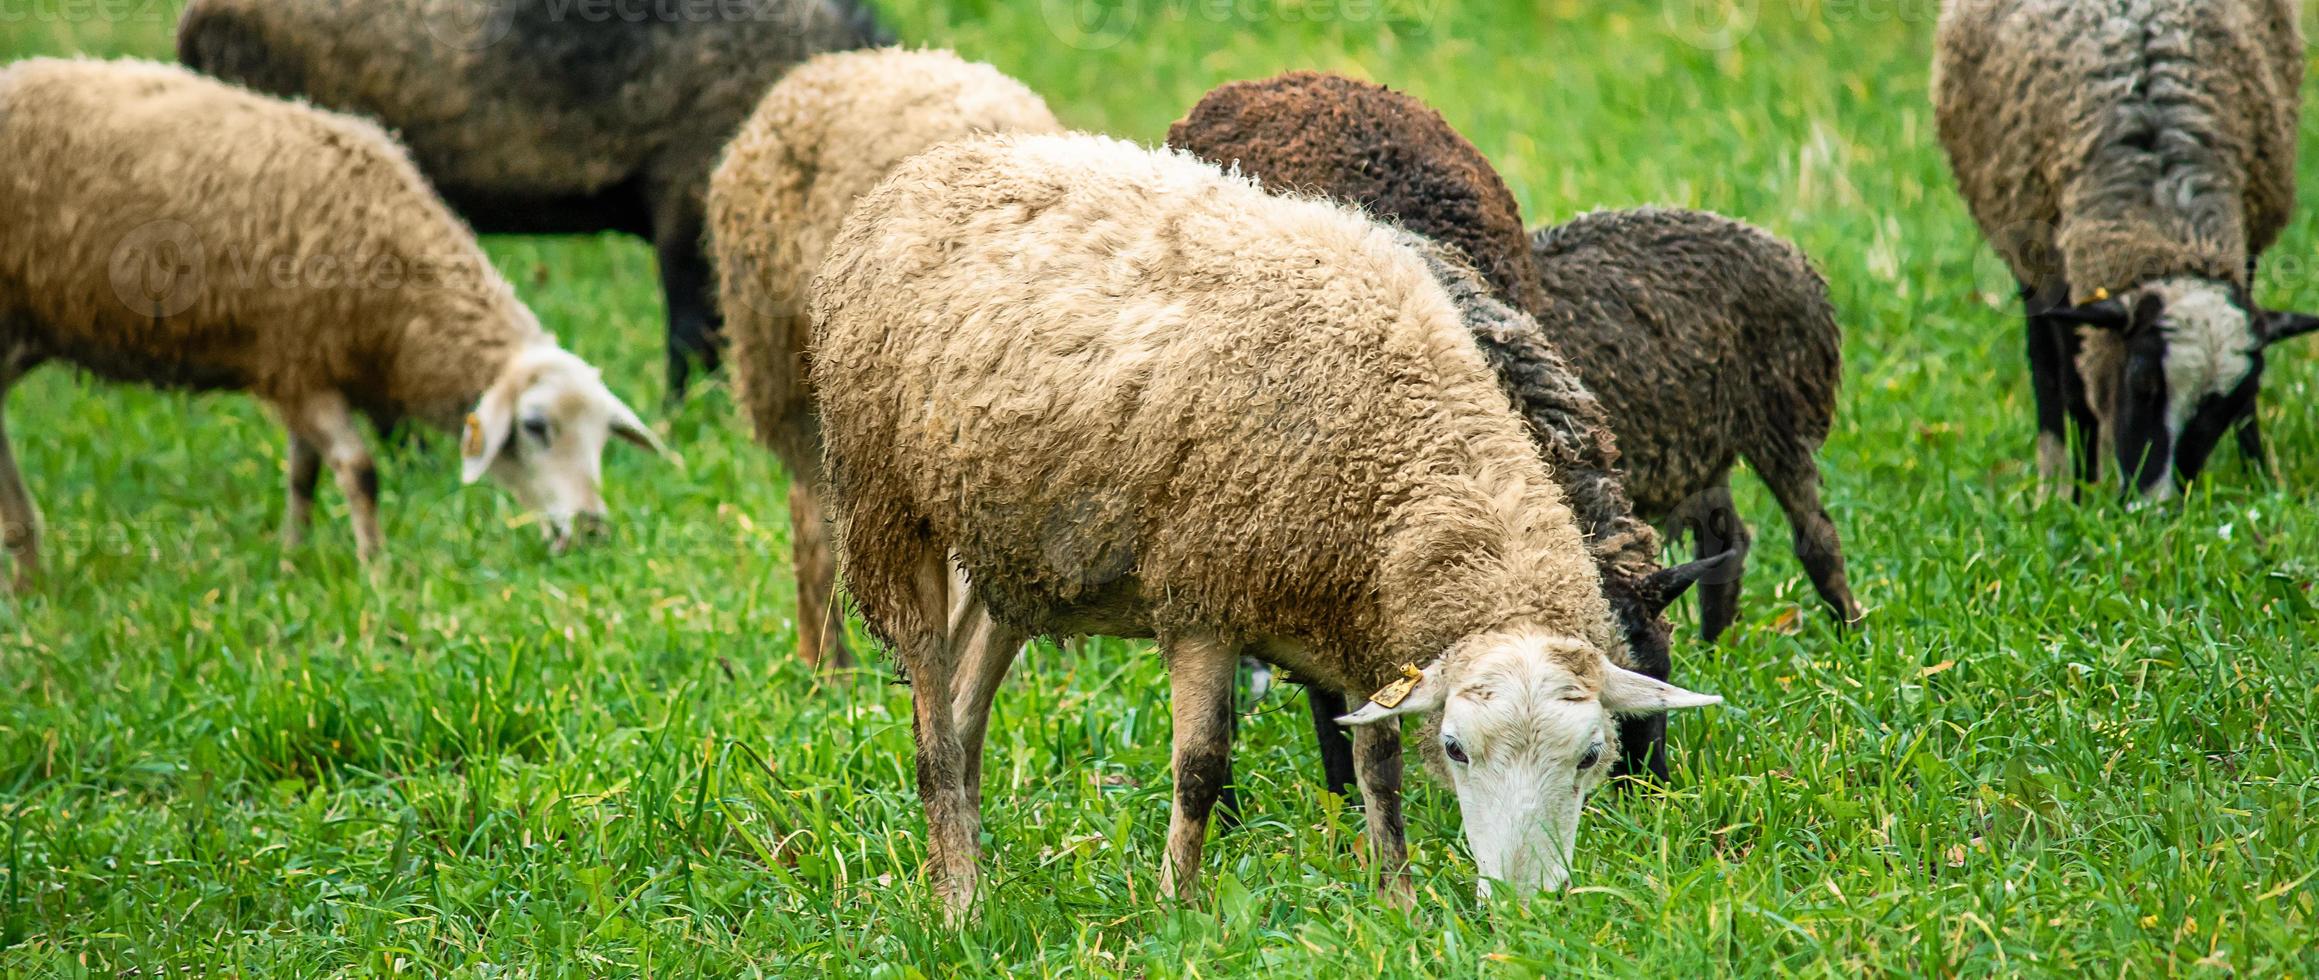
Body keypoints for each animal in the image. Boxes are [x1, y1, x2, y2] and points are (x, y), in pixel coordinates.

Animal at [0, 57, 672, 590]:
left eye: (603, 439)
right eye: (534, 427)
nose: (591, 529)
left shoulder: (308, 371)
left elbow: (304, 474)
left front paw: (292, 560)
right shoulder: (293, 364)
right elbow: (359, 469)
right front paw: (376, 572)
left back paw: (28, 569)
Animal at [802, 132, 1725, 922]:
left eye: (1590, 755)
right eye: (1458, 750)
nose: (1525, 908)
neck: (1399, 458)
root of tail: (934, 163)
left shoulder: (1358, 624)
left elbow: (1379, 769)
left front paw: (1396, 900)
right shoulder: (1201, 598)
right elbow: (1200, 768)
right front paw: (1177, 905)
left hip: (1019, 544)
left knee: (965, 704)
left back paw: (963, 866)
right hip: (885, 504)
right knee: (930, 716)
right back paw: (959, 900)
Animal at [1521, 209, 1864, 639]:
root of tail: (1792, 258)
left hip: (1778, 419)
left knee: (1816, 533)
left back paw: (1851, 634)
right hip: (1705, 451)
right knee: (1727, 542)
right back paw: (1715, 647)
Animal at [1938, 0, 2319, 502]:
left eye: (2225, 405)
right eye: (2142, 384)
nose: (2154, 508)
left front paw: (2260, 482)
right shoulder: (2059, 271)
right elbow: (2074, 388)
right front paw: (2079, 496)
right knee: (2046, 369)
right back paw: (2053, 483)